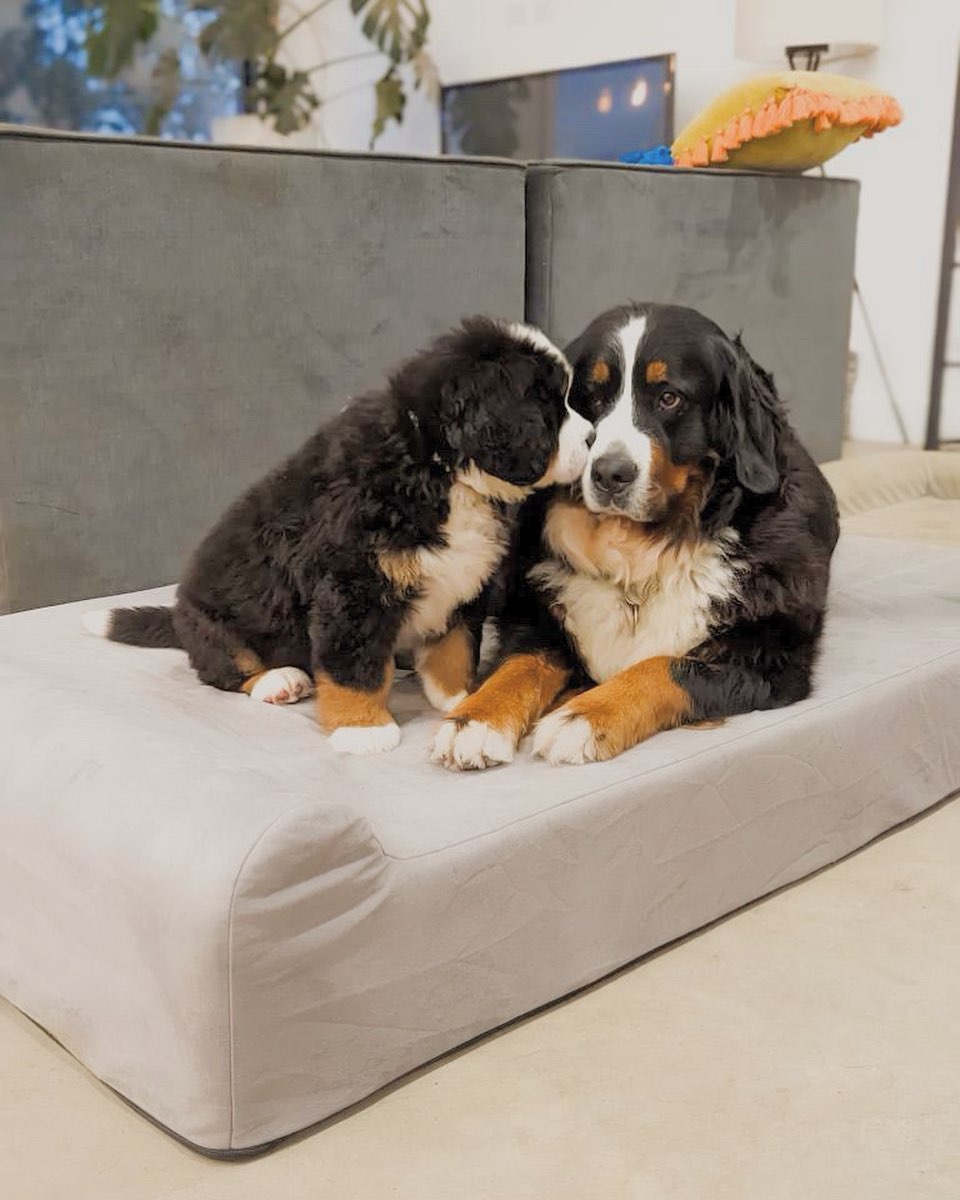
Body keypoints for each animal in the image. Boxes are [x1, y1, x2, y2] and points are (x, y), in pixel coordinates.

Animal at [91, 316, 600, 748]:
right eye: (549, 407)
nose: (594, 437)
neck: (437, 467)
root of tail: (179, 615)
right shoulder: (351, 587)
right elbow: (352, 664)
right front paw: (363, 729)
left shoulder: (462, 579)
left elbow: (454, 647)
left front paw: (460, 697)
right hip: (214, 623)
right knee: (228, 669)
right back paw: (279, 680)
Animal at [432, 300, 835, 768]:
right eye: (591, 397)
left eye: (668, 397)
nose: (610, 473)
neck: (641, 553)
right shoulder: (536, 620)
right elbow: (519, 665)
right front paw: (474, 719)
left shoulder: (770, 658)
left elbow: (663, 666)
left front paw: (584, 716)